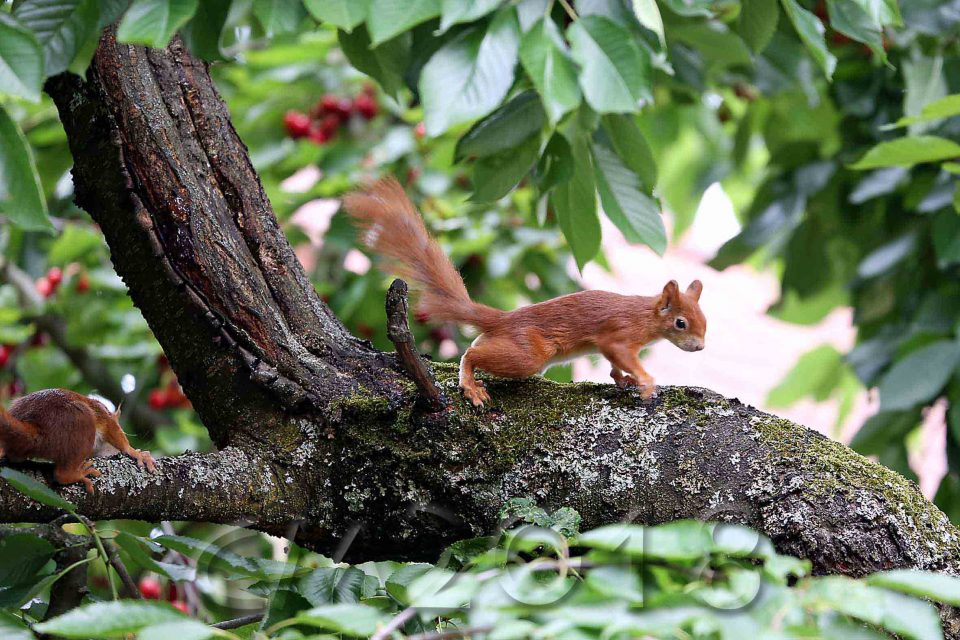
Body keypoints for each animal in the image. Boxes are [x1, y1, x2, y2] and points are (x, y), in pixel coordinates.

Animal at [0, 389, 157, 493]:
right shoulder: (104, 415)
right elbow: (116, 434)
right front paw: (137, 453)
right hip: (80, 420)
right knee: (61, 475)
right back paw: (76, 474)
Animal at [343, 177, 707, 407]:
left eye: (705, 321)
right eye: (681, 323)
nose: (700, 347)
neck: (646, 316)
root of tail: (504, 319)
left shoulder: (613, 346)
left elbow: (615, 365)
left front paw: (624, 379)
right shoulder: (619, 334)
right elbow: (619, 353)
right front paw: (646, 383)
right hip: (528, 354)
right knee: (471, 353)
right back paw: (471, 386)